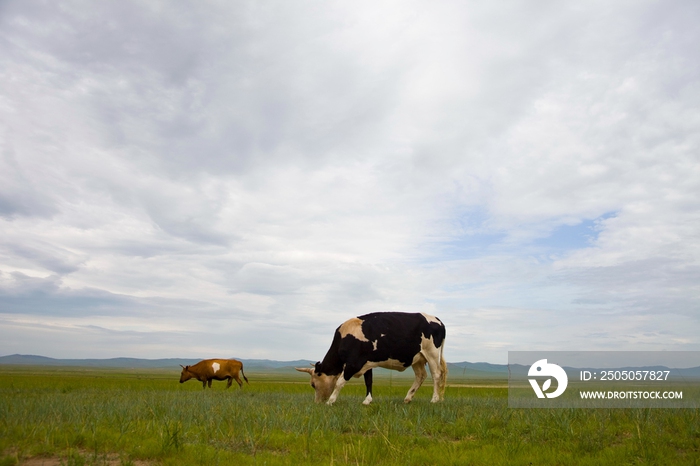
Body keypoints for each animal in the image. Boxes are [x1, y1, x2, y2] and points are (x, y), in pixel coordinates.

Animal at [296, 314, 448, 404]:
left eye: (313, 384)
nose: (317, 402)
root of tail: (437, 319)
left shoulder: (353, 364)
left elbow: (340, 382)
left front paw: (331, 401)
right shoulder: (366, 363)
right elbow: (368, 381)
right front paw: (367, 401)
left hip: (432, 353)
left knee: (436, 374)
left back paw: (434, 399)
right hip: (417, 358)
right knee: (421, 375)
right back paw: (408, 398)